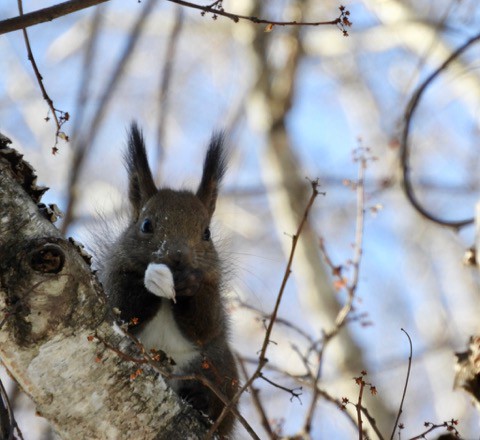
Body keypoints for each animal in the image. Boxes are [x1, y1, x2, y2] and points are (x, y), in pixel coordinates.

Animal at [97, 123, 238, 436]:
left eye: (207, 233)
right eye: (146, 225)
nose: (176, 256)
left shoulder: (213, 289)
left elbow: (207, 324)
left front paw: (189, 286)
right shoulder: (113, 281)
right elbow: (122, 307)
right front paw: (147, 282)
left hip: (219, 368)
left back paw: (200, 400)